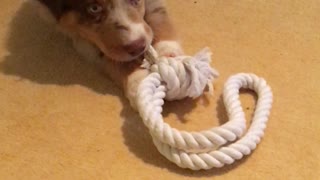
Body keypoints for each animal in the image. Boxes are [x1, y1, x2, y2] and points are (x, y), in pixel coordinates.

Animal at [33, 0, 182, 108]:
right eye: (94, 8)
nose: (138, 47)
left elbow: (157, 13)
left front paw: (169, 53)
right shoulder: (80, 34)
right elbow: (111, 55)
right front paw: (138, 82)